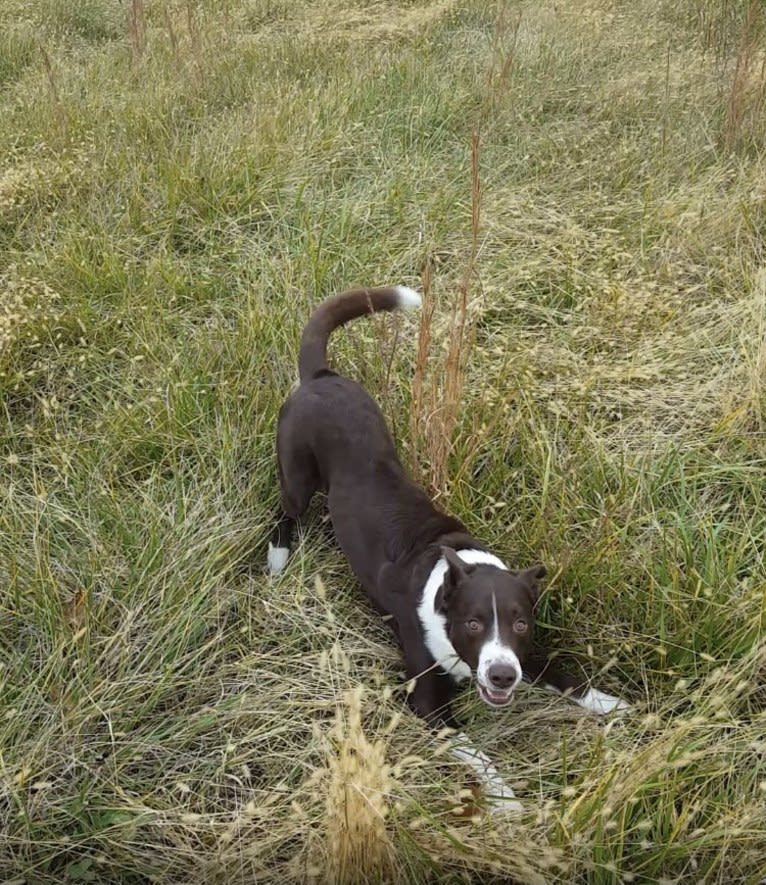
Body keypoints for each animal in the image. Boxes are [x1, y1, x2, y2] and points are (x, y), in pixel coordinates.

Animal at [270, 286, 632, 812]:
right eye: (473, 623)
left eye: (521, 623)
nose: (501, 678)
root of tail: (320, 377)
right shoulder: (426, 703)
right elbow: (477, 752)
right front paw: (505, 802)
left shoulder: (521, 653)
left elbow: (566, 677)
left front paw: (610, 704)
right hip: (297, 477)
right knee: (284, 512)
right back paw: (278, 557)